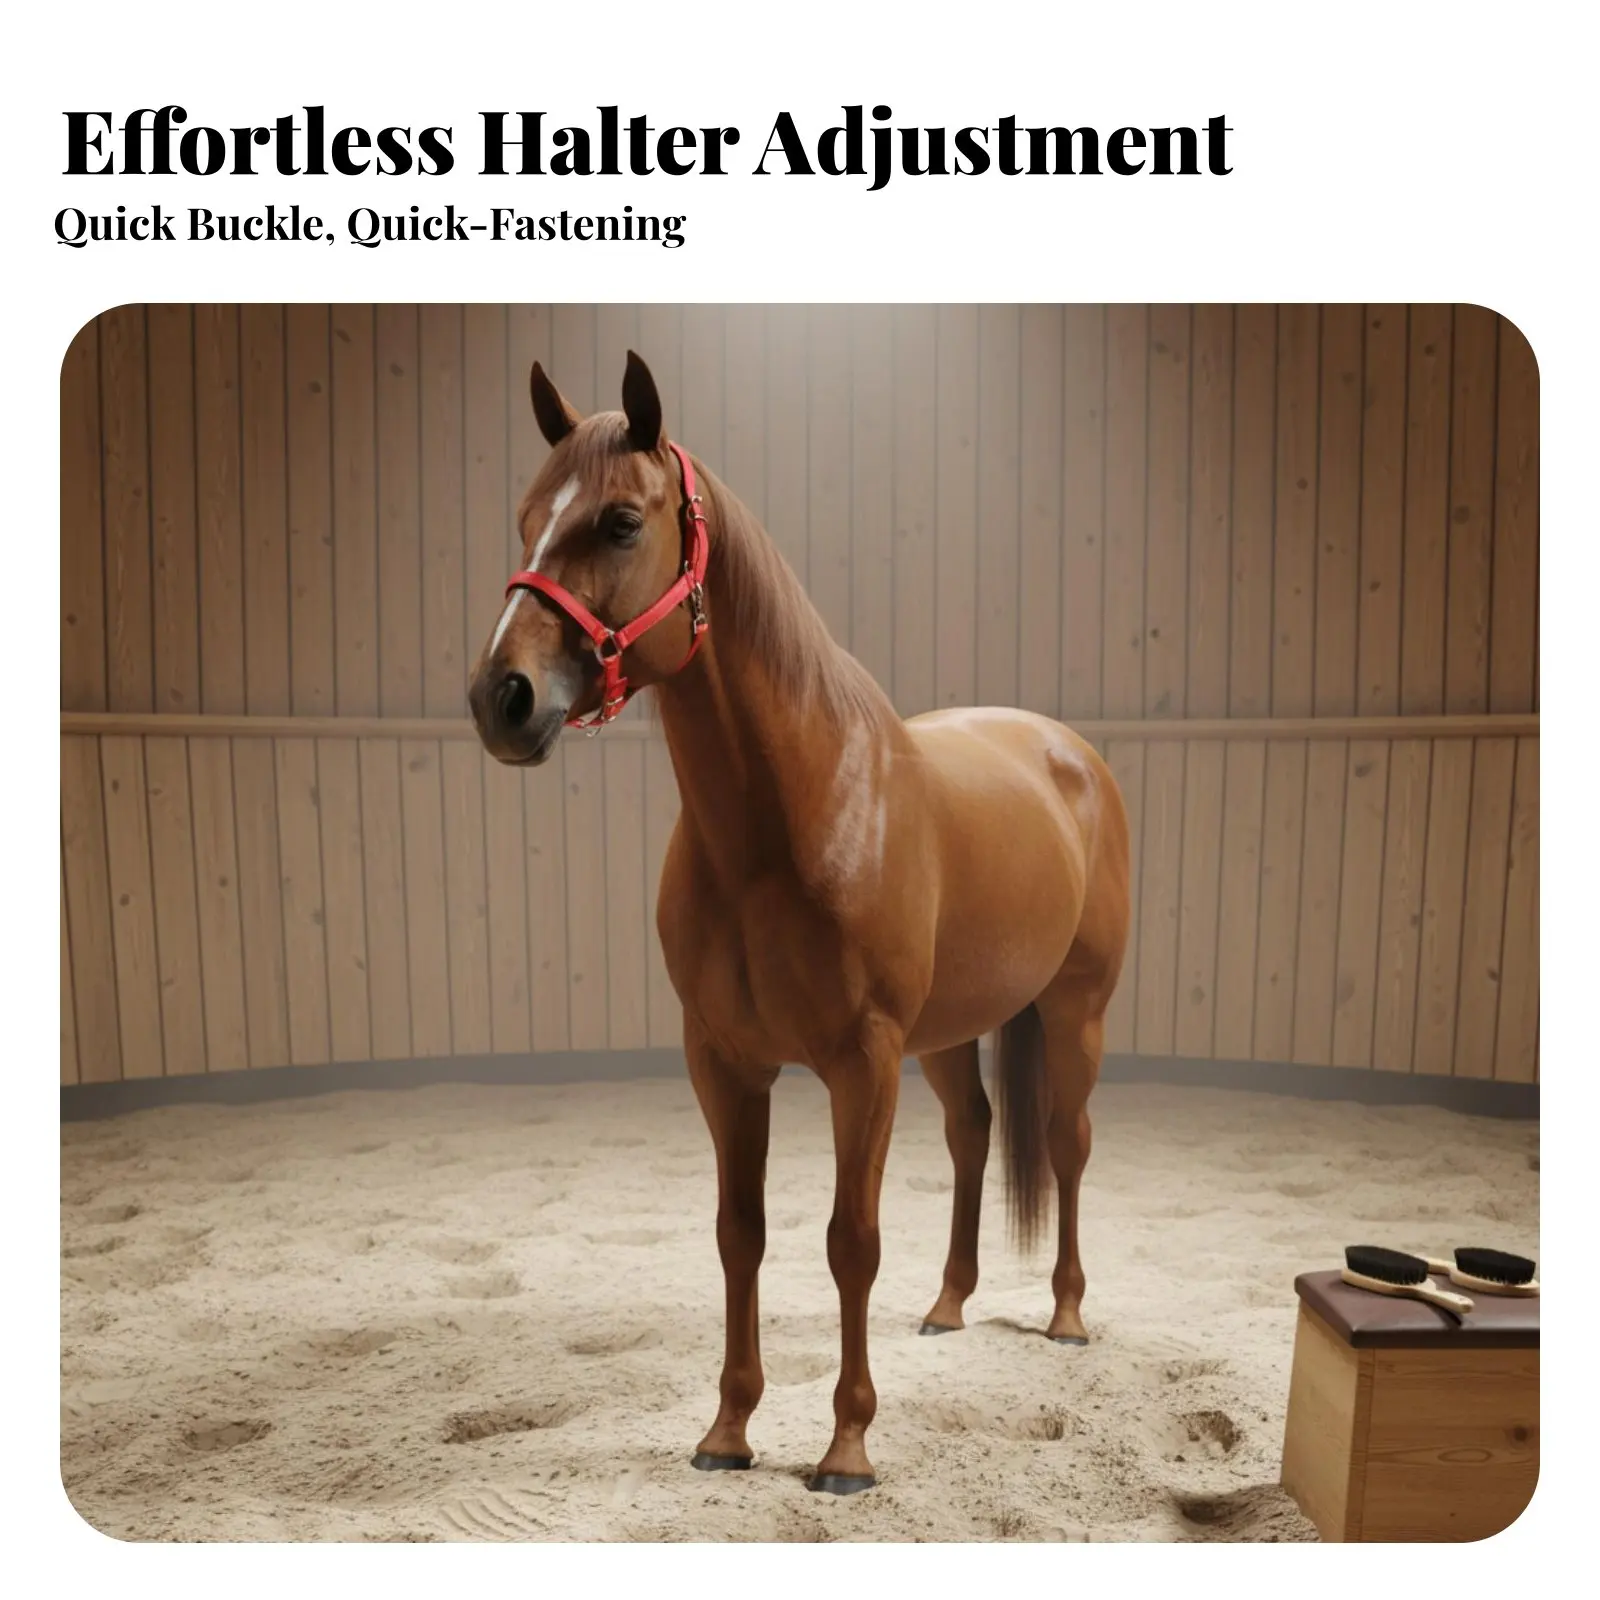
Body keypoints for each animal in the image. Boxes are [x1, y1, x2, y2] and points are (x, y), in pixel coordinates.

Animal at [467, 351, 1131, 1495]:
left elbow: (848, 1240)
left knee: (1066, 1141)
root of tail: (1069, 751)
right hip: (946, 1035)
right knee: (971, 1135)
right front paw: (728, 1431)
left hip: (1072, 1013)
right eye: (523, 520)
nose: (499, 698)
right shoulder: (725, 1060)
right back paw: (948, 1305)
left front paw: (846, 1449)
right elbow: (741, 1233)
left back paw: (1066, 1315)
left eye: (620, 522)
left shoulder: (859, 1061)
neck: (792, 816)